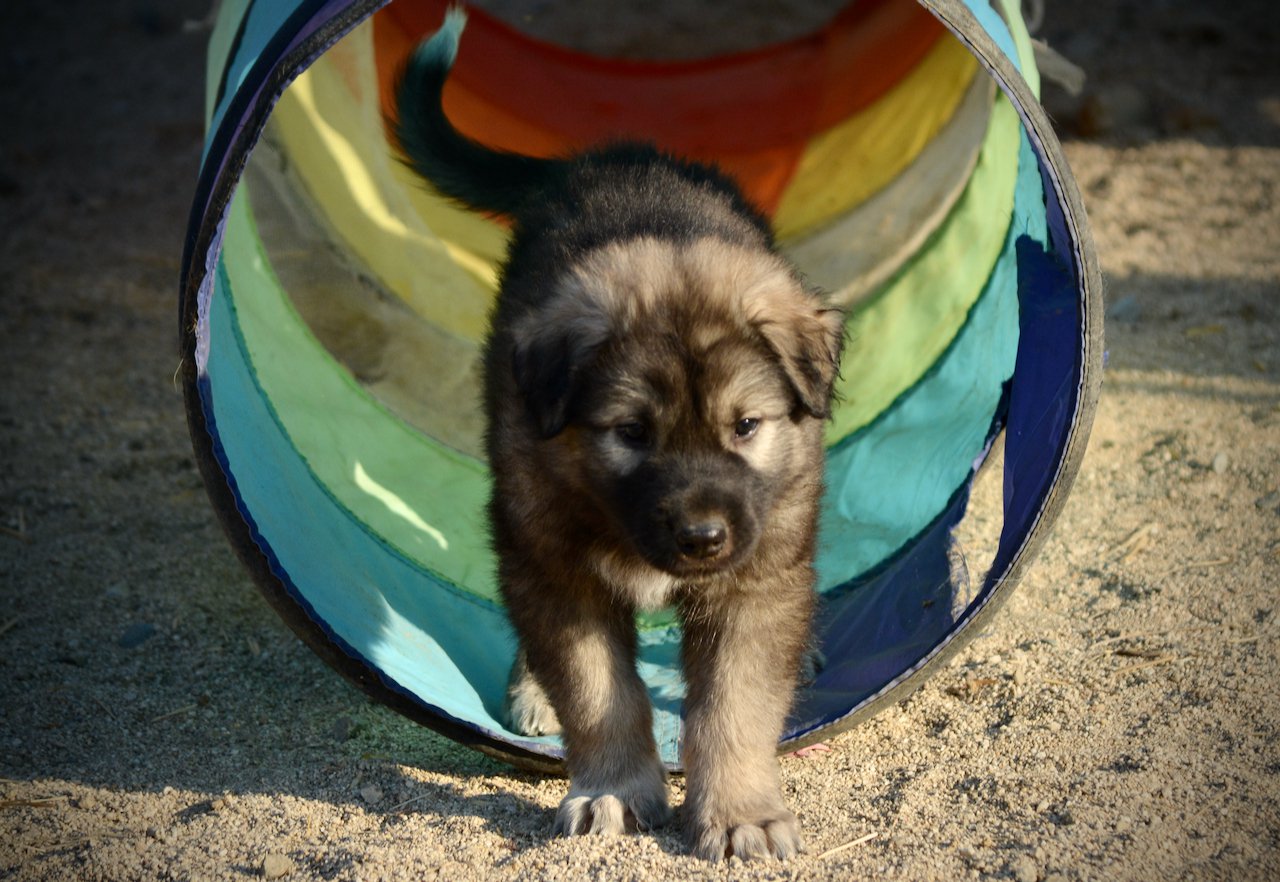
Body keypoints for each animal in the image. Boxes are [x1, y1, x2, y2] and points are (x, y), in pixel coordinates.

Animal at [394, 8, 844, 860]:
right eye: (631, 431)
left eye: (746, 426)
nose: (702, 539)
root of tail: (612, 156)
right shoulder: (558, 562)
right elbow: (599, 690)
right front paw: (612, 790)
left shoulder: (754, 579)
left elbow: (734, 704)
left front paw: (739, 811)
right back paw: (531, 688)